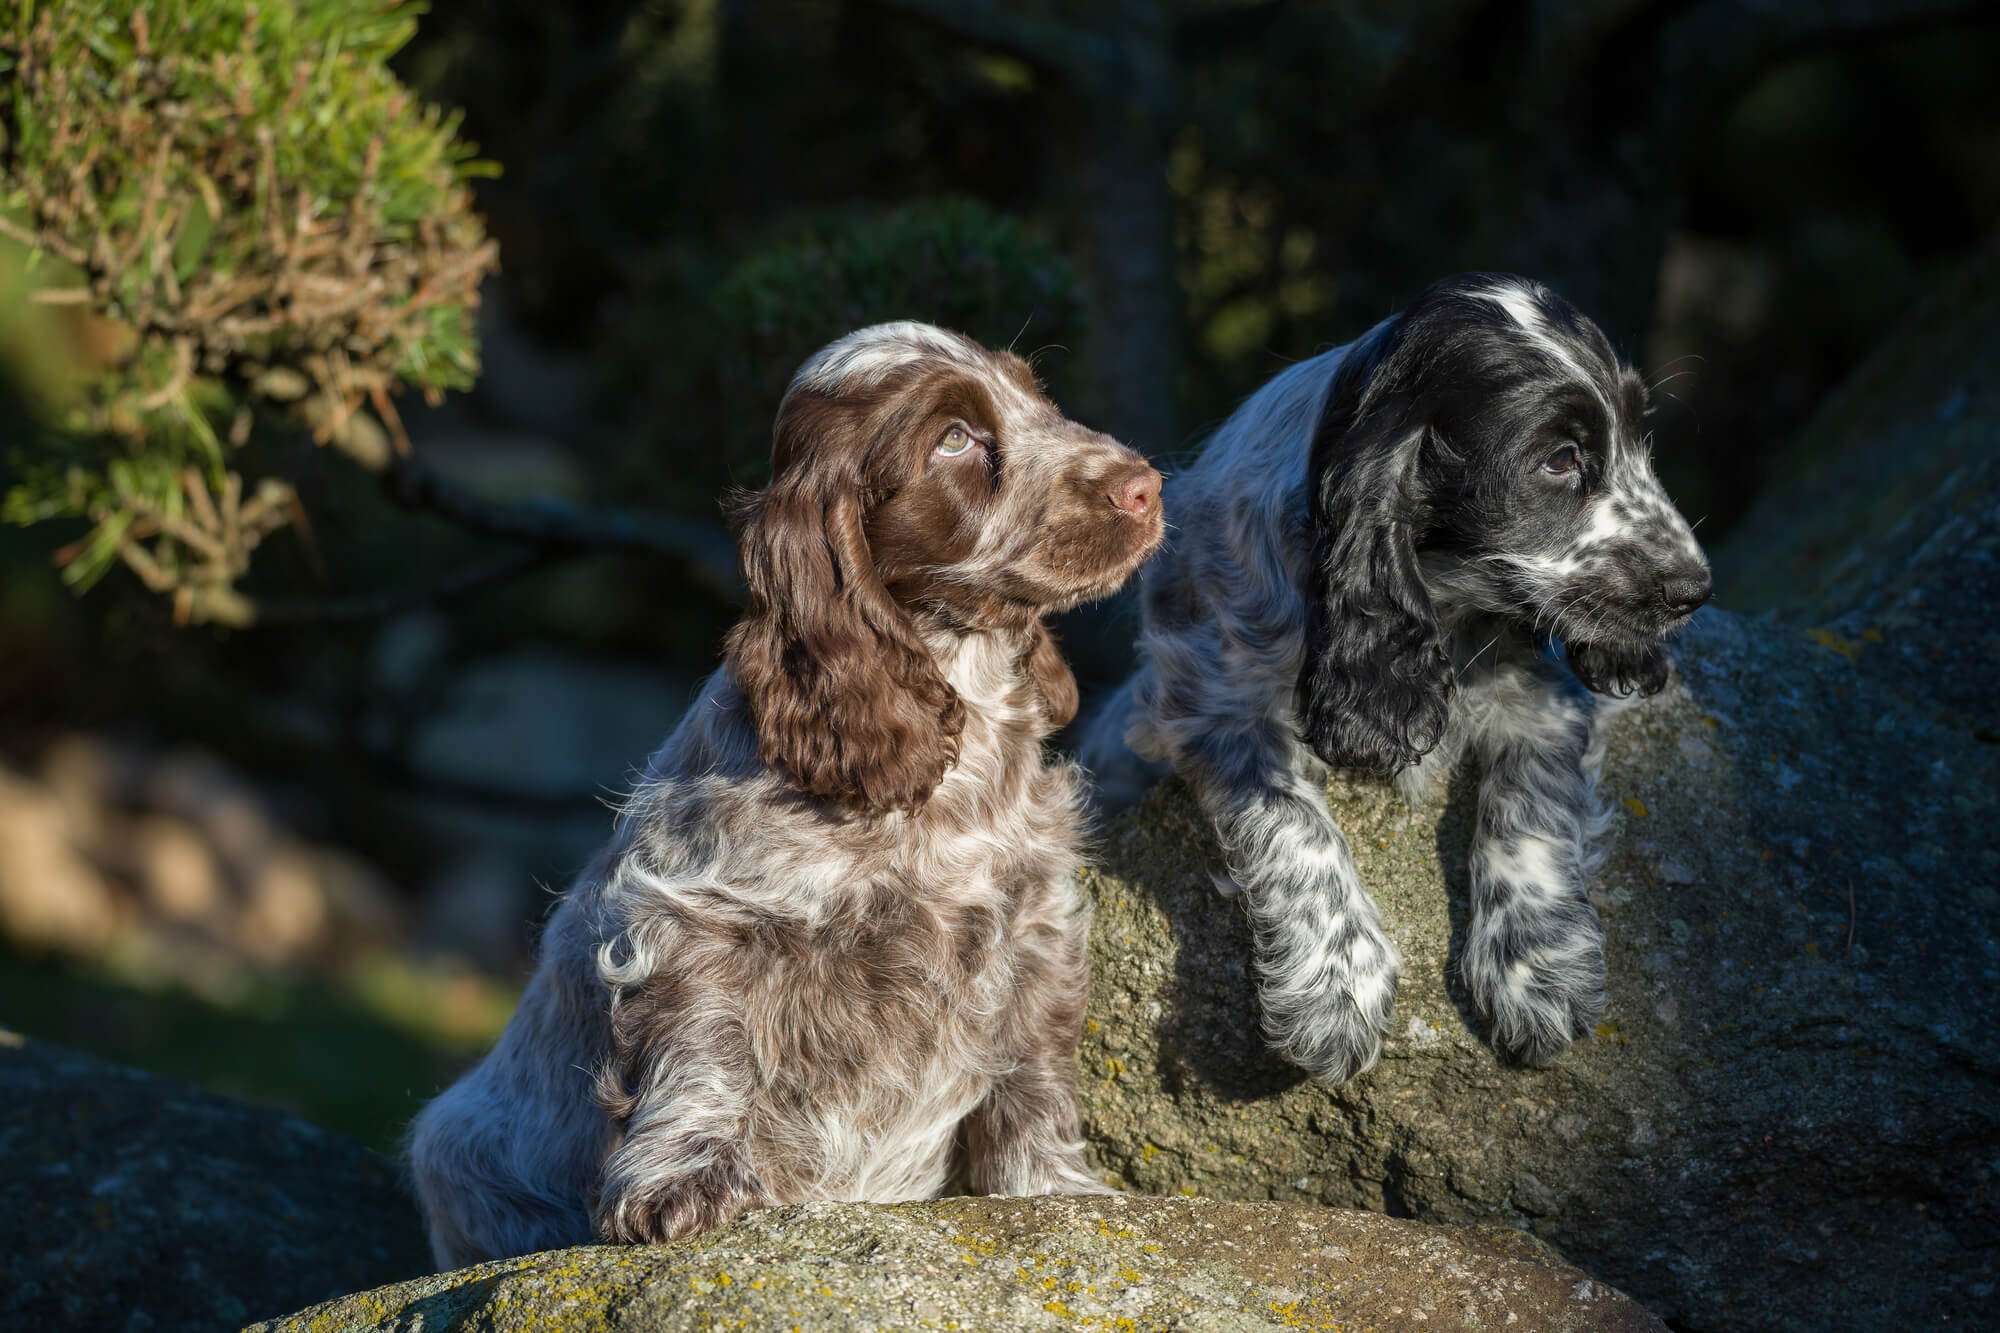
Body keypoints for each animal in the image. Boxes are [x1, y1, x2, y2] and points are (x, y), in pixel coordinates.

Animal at [404, 316, 1160, 1264]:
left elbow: (1033, 1070)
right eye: (953, 439)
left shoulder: (1035, 922)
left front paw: (1053, 1187)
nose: (1145, 486)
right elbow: (704, 1051)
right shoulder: (698, 918)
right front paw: (683, 1181)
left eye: (1038, 400)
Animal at [1088, 270, 1712, 1080]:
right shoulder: (1207, 696)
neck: (1444, 603)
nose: (1696, 588)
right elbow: (1291, 821)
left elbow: (1534, 806)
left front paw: (1539, 968)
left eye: (1641, 438)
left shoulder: (1544, 694)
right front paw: (1333, 988)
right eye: (1559, 459)